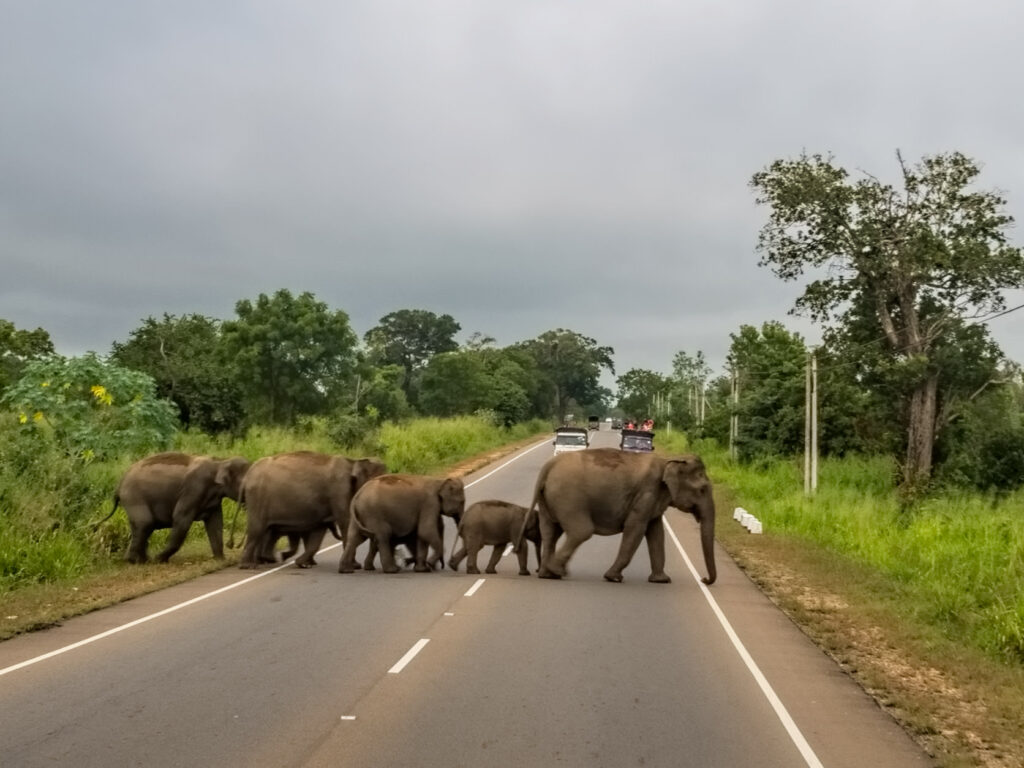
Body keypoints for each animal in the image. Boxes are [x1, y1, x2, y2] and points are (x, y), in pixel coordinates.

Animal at [102, 450, 251, 565]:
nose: (231, 544)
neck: (220, 461)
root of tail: (119, 485)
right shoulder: (194, 488)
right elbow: (181, 519)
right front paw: (159, 560)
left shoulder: (213, 500)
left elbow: (216, 523)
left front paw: (220, 560)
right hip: (133, 497)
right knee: (145, 523)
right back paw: (137, 561)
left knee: (144, 527)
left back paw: (141, 560)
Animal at [239, 450, 387, 573]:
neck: (353, 462)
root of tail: (246, 478)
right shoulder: (339, 491)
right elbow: (345, 522)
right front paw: (355, 566)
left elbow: (318, 533)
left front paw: (302, 563)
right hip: (257, 499)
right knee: (257, 529)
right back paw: (248, 566)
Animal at [337, 475, 466, 577]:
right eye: (462, 502)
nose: (442, 566)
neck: (440, 482)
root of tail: (356, 496)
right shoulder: (429, 504)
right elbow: (426, 531)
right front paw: (428, 565)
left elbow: (421, 535)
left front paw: (422, 569)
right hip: (373, 514)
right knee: (383, 536)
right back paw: (392, 570)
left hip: (360, 517)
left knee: (355, 539)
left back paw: (346, 570)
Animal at [516, 450, 716, 581]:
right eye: (702, 489)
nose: (704, 579)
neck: (668, 460)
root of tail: (549, 466)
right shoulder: (646, 494)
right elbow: (635, 529)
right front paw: (613, 577)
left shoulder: (653, 499)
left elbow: (656, 532)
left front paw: (661, 580)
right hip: (569, 498)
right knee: (581, 531)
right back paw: (557, 571)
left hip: (548, 499)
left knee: (550, 532)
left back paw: (547, 574)